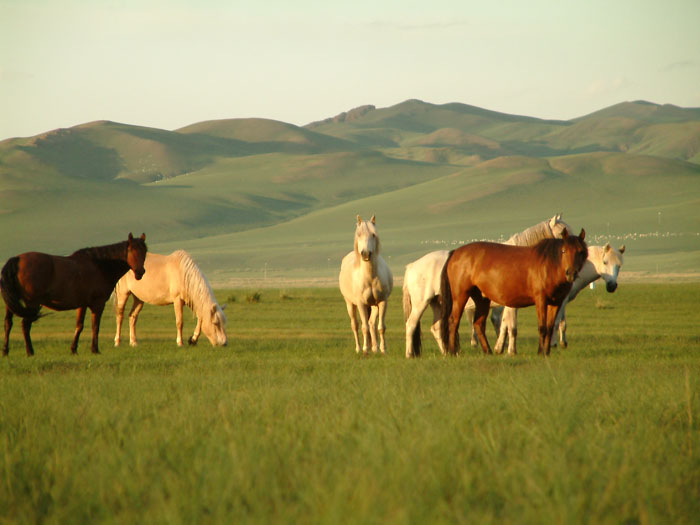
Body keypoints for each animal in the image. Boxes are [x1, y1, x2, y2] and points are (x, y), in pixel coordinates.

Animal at [1, 233, 146, 356]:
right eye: (131, 250)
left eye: (144, 252)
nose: (140, 272)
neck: (100, 265)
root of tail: (16, 260)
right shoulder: (98, 304)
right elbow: (95, 326)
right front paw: (95, 349)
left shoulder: (82, 304)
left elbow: (79, 326)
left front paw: (73, 349)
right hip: (32, 303)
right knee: (25, 325)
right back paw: (30, 351)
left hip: (12, 303)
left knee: (8, 324)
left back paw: (5, 351)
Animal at [340, 215, 394, 354]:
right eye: (359, 234)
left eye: (373, 235)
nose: (365, 254)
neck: (370, 277)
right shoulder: (361, 304)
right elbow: (364, 327)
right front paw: (365, 349)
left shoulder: (382, 302)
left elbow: (380, 327)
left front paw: (383, 349)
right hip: (350, 304)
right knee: (355, 325)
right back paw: (359, 348)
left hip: (374, 305)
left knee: (372, 323)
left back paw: (374, 347)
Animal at [402, 213, 572, 356]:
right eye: (562, 232)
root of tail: (411, 265)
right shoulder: (512, 305)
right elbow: (512, 327)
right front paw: (511, 351)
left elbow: (504, 326)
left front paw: (501, 349)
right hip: (421, 303)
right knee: (411, 324)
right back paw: (410, 354)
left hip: (438, 303)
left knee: (437, 328)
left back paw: (446, 353)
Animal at [440, 229, 588, 356]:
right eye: (564, 251)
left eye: (581, 251)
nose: (571, 273)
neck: (549, 265)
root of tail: (455, 252)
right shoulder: (540, 299)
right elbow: (542, 327)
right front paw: (540, 352)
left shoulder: (556, 302)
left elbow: (550, 327)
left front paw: (546, 352)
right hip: (460, 295)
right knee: (453, 321)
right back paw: (453, 352)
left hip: (482, 298)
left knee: (478, 323)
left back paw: (488, 351)